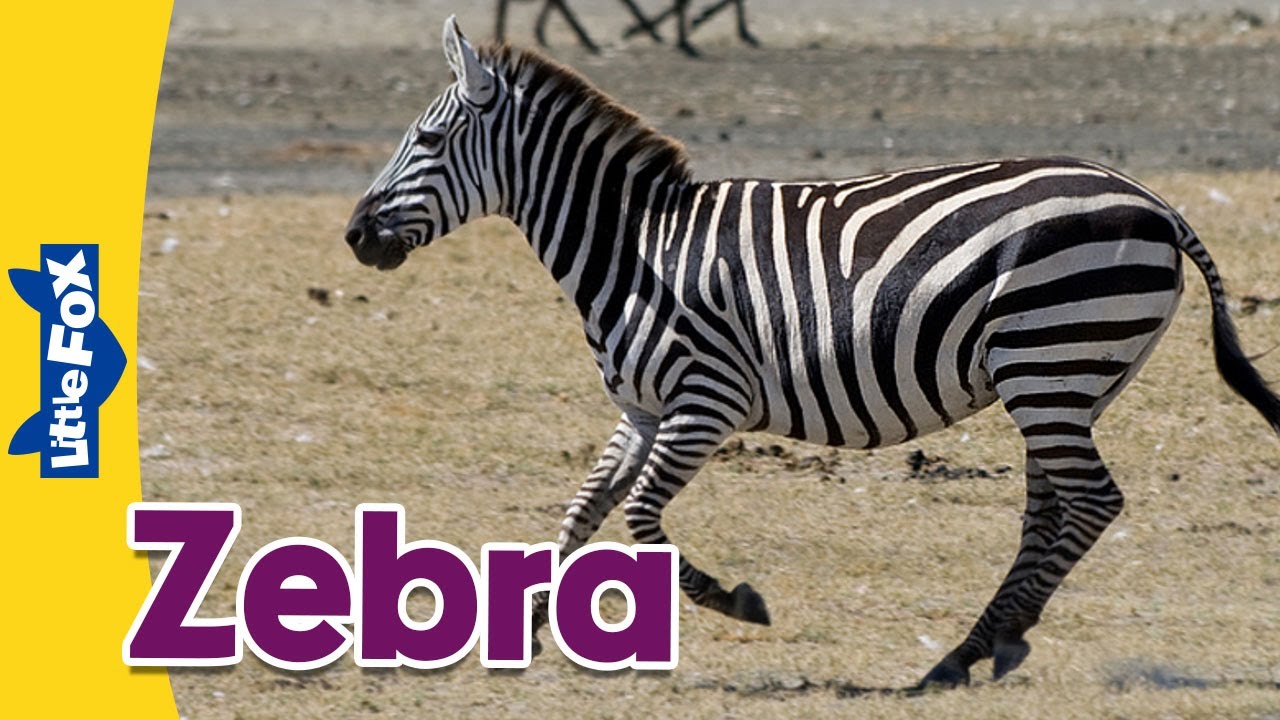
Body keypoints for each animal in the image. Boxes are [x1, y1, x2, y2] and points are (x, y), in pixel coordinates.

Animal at [343, 18, 1280, 686]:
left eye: (426, 142)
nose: (354, 236)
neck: (635, 246)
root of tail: (1154, 201)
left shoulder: (705, 399)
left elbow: (641, 520)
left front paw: (738, 602)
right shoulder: (640, 410)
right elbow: (582, 514)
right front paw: (525, 629)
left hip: (1047, 362)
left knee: (1090, 502)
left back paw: (962, 655)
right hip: (1071, 377)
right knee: (1051, 509)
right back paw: (991, 645)